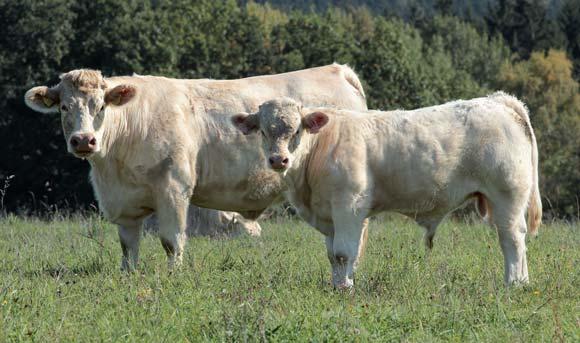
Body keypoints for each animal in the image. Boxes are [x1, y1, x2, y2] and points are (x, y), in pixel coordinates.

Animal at [26, 64, 368, 272]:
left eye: (100, 106)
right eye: (64, 107)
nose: (84, 140)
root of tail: (338, 71)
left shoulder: (174, 188)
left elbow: (171, 240)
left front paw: (173, 276)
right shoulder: (124, 201)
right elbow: (127, 245)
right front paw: (128, 275)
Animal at [232, 94, 544, 290]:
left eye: (296, 130)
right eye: (263, 131)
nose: (278, 160)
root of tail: (498, 100)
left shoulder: (349, 206)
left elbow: (345, 253)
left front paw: (345, 289)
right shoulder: (330, 214)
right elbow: (333, 255)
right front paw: (336, 285)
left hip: (507, 196)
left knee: (512, 240)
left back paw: (515, 284)